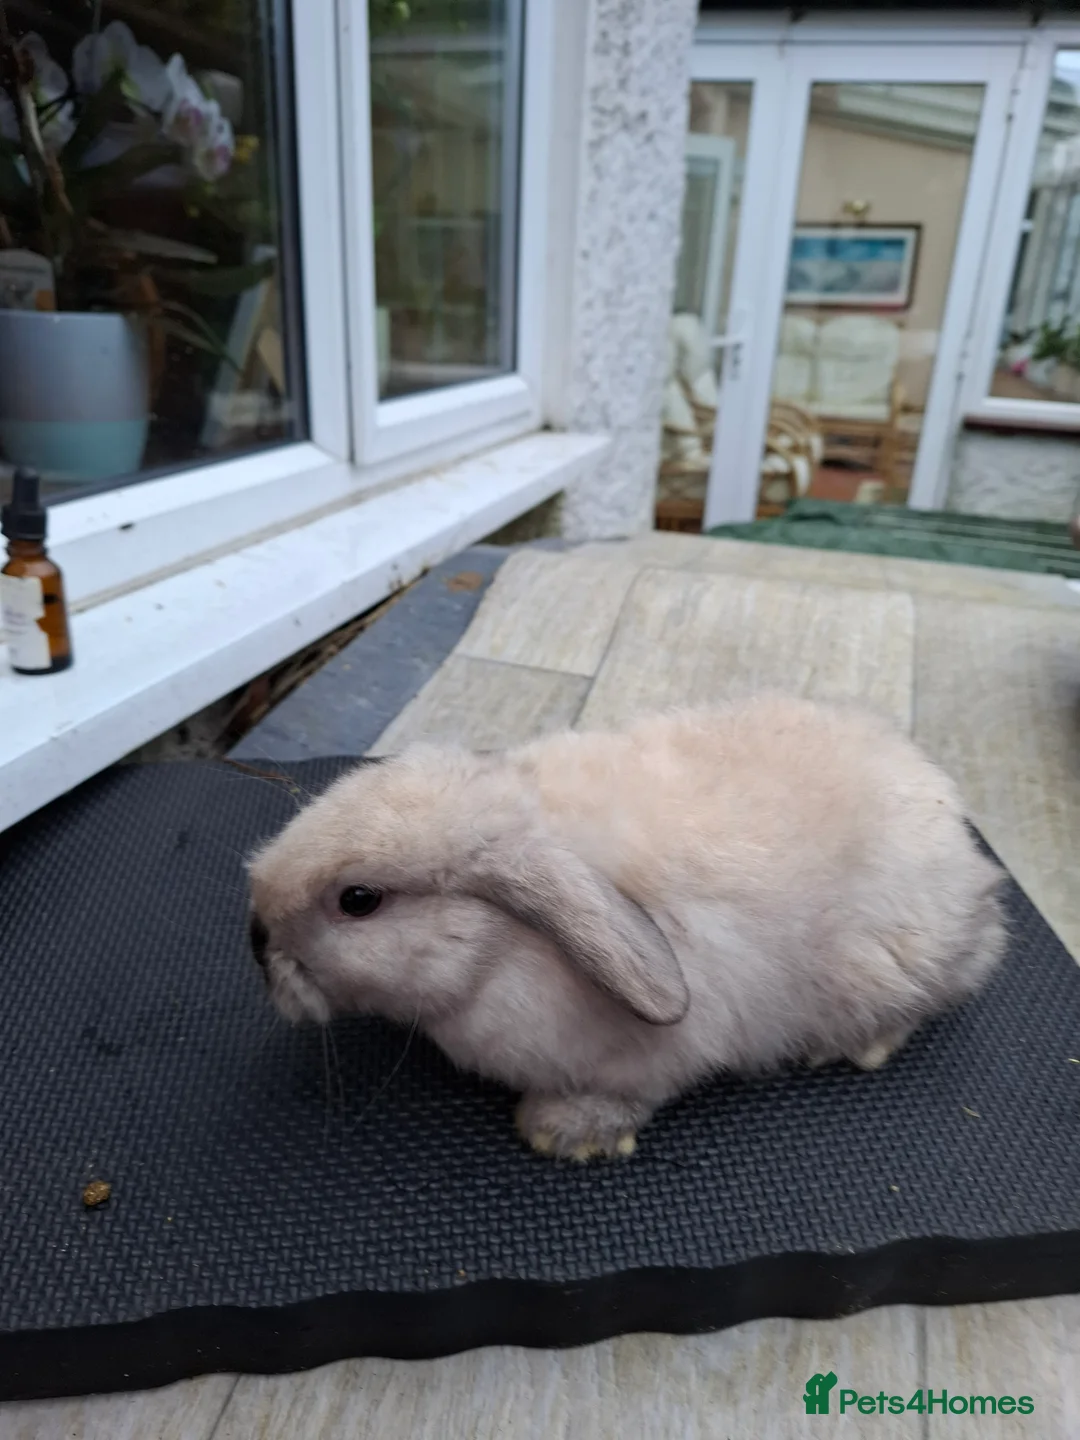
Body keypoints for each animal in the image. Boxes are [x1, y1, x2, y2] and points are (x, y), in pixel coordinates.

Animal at [246, 694, 1006, 1161]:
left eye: (359, 899)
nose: (257, 942)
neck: (501, 949)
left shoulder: (662, 1055)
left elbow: (637, 1092)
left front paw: (561, 1132)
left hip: (892, 965)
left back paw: (855, 1047)